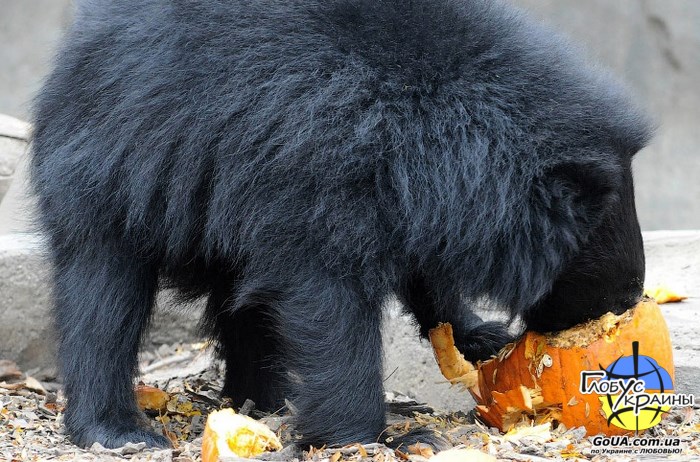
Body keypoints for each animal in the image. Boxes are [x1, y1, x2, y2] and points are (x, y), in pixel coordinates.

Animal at [27, 0, 652, 452]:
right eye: (595, 246)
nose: (626, 299)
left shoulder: (403, 193)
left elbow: (422, 265)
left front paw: (480, 336)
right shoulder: (322, 165)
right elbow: (328, 302)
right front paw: (376, 437)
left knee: (245, 303)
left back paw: (263, 400)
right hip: (116, 161)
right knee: (103, 295)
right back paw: (121, 431)